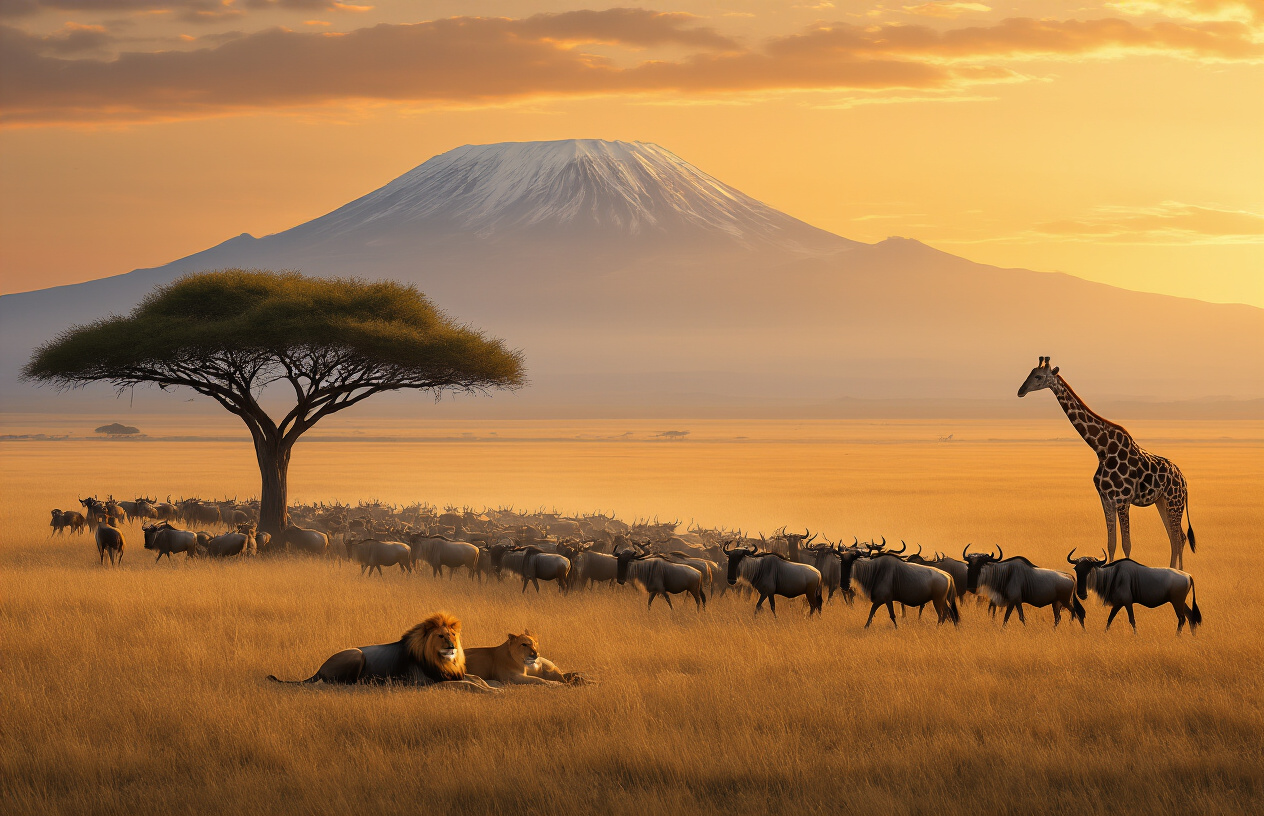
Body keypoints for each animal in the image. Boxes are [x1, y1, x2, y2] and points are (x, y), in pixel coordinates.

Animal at [267, 612, 500, 693]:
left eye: (452, 634)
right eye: (441, 636)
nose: (452, 647)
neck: (442, 660)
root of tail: (319, 667)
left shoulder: (452, 674)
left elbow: (476, 678)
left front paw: (496, 689)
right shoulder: (425, 682)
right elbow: (468, 684)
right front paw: (492, 692)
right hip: (356, 654)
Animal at [1017, 357, 1196, 569]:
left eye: (1038, 376)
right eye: (1029, 372)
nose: (1021, 391)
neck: (1101, 449)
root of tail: (1184, 480)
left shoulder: (1123, 500)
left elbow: (1127, 544)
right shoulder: (1105, 499)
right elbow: (1111, 543)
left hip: (1174, 501)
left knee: (1179, 537)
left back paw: (1181, 572)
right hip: (1162, 501)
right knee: (1175, 537)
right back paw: (1172, 570)